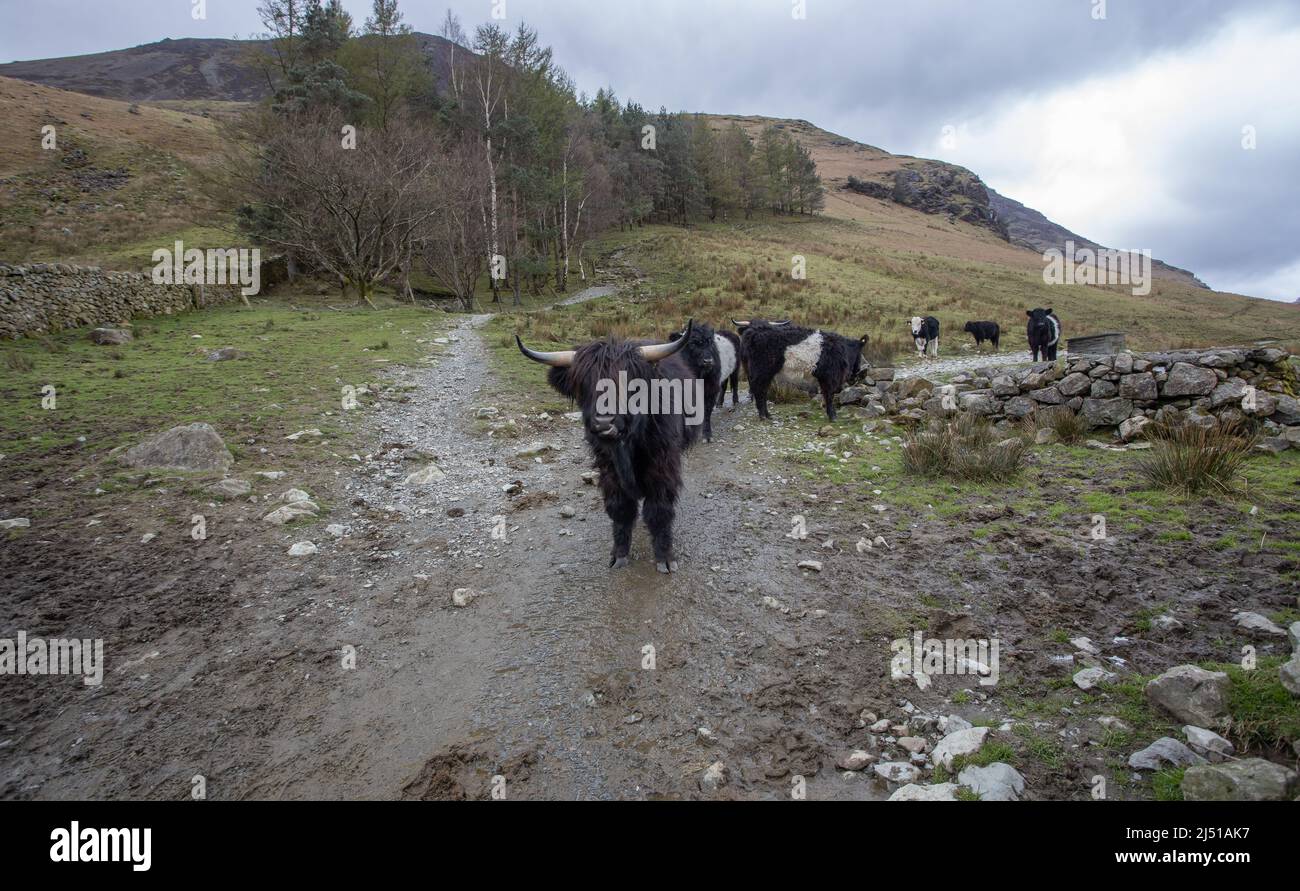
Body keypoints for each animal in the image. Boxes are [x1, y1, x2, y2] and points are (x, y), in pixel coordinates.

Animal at [738, 316, 868, 421]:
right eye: (860, 353)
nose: (857, 372)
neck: (842, 350)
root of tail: (754, 332)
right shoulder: (828, 377)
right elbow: (829, 395)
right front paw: (833, 416)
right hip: (761, 370)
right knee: (758, 389)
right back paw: (762, 415)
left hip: (766, 372)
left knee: (763, 390)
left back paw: (767, 415)